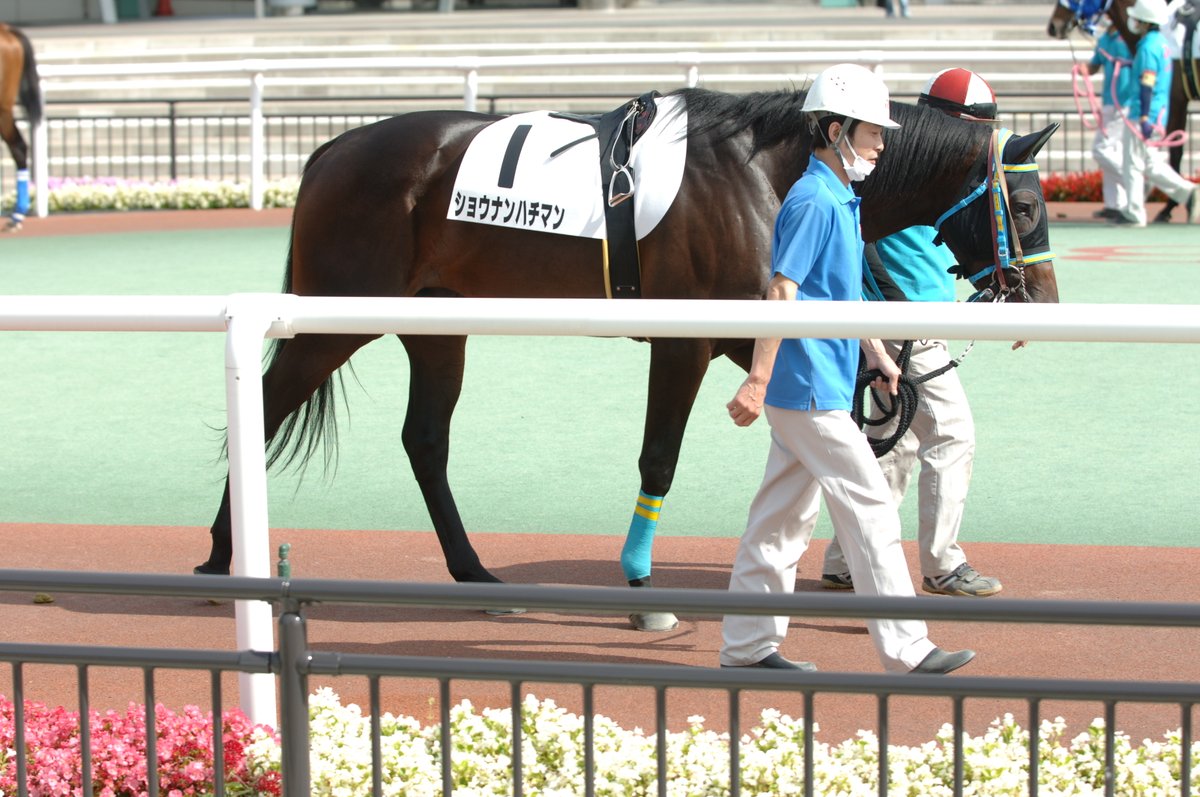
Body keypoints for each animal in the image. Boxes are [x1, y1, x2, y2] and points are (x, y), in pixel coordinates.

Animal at [192, 87, 1060, 631]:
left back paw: (476, 574)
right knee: (263, 412)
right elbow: (659, 459)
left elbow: (841, 424)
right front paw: (643, 586)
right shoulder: (687, 340)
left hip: (437, 328)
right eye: (1024, 205)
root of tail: (328, 152)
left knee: (425, 442)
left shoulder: (759, 333)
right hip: (331, 324)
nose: (1043, 301)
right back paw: (217, 559)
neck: (765, 175)